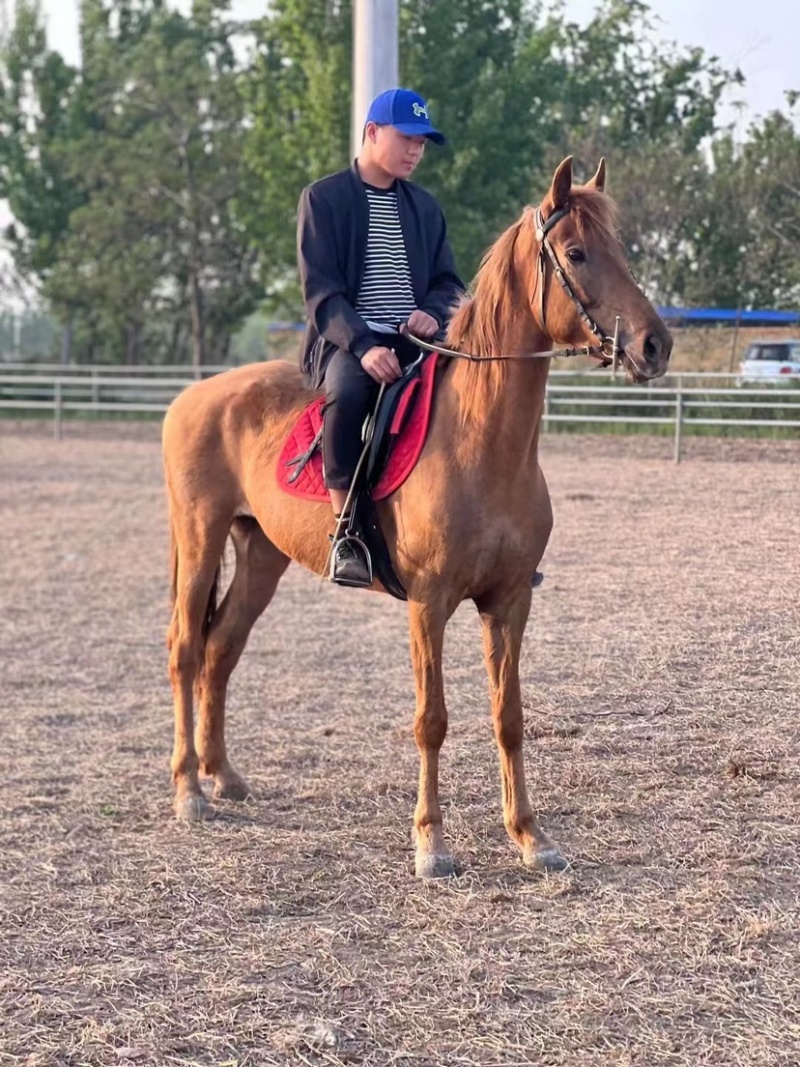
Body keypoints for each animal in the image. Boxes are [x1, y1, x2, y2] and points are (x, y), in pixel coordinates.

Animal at [162, 156, 672, 877]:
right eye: (576, 252)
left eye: (620, 249)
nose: (655, 346)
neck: (482, 441)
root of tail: (194, 395)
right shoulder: (429, 603)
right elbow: (432, 719)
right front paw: (432, 843)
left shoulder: (509, 601)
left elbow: (509, 714)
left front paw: (530, 836)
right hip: (200, 536)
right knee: (186, 649)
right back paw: (189, 790)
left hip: (261, 553)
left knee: (221, 648)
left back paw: (223, 775)